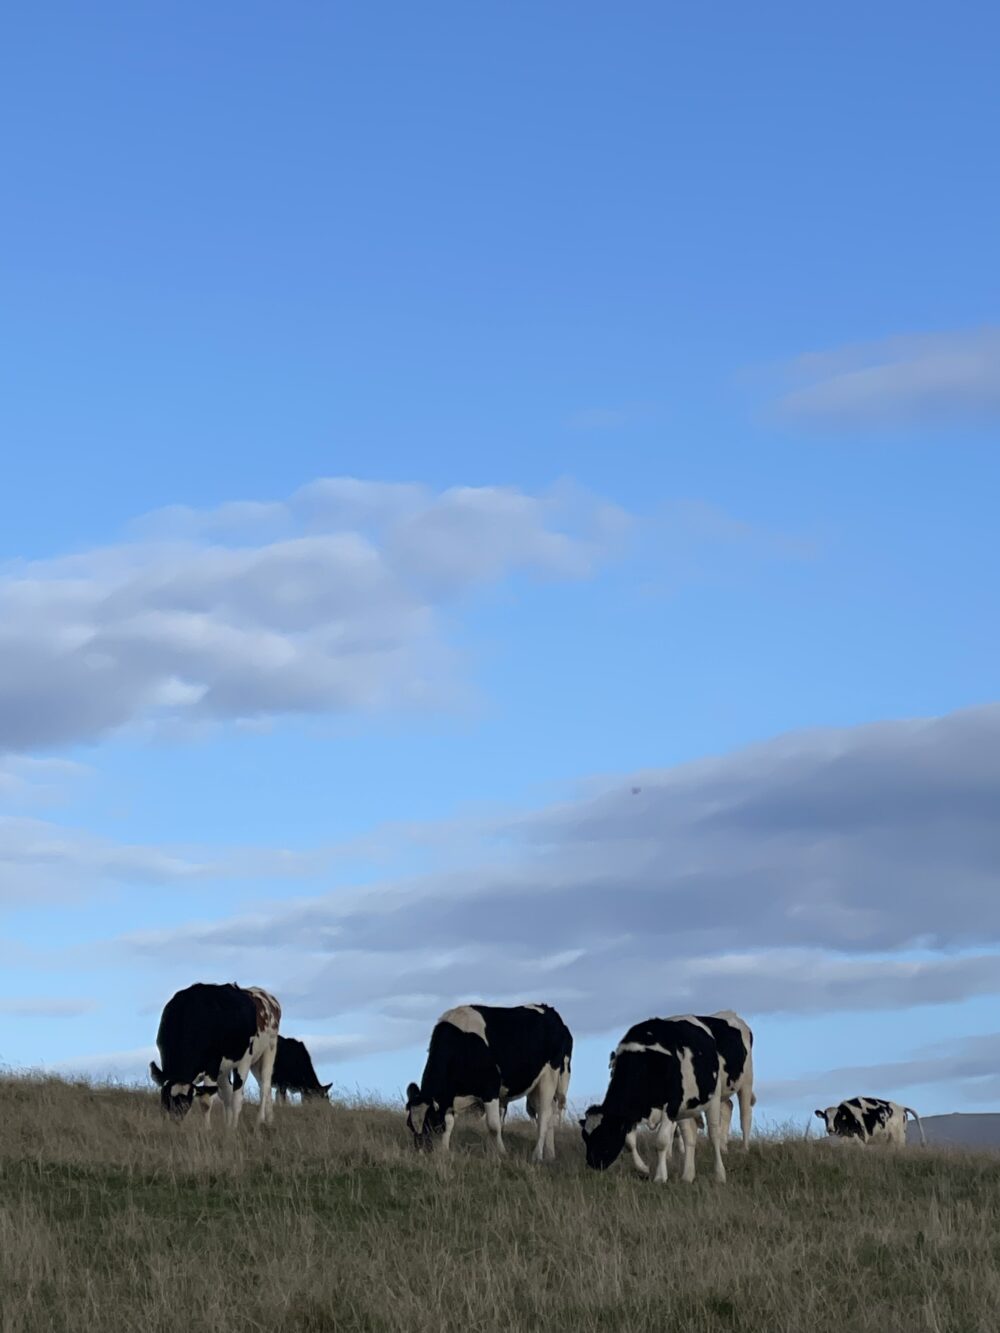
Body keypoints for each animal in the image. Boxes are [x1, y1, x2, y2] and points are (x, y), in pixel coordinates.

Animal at [150, 975, 282, 1130]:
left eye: (186, 1103)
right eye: (166, 1100)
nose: (175, 1122)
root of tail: (267, 997)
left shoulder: (212, 1065)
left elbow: (206, 1102)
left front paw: (207, 1129)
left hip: (264, 1051)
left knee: (257, 1088)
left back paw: (252, 1122)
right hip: (241, 1064)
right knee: (235, 1091)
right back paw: (261, 1121)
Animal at [405, 1002, 576, 1157]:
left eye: (431, 1124)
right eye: (410, 1125)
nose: (420, 1153)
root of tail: (550, 1010)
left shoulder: (490, 1088)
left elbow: (494, 1126)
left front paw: (501, 1153)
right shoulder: (449, 1097)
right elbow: (449, 1123)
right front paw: (444, 1151)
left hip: (550, 1077)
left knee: (544, 1115)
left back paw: (537, 1155)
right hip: (536, 1086)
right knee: (548, 1116)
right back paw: (550, 1154)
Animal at [578, 1013, 730, 1183]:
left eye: (605, 1135)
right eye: (585, 1137)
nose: (592, 1162)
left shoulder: (671, 1106)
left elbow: (661, 1141)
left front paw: (660, 1177)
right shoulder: (631, 1113)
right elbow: (629, 1142)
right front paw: (643, 1169)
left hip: (714, 1097)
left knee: (714, 1134)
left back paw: (720, 1175)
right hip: (685, 1108)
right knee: (689, 1137)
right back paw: (687, 1176)